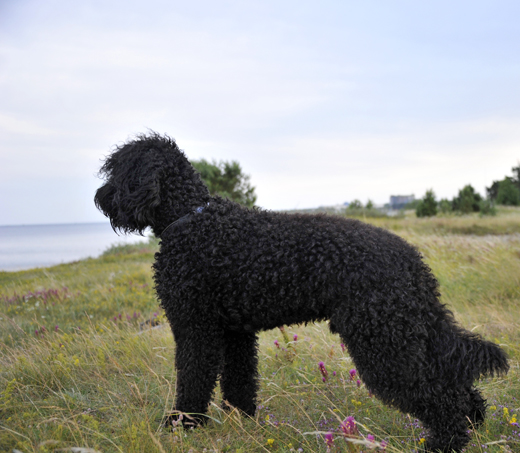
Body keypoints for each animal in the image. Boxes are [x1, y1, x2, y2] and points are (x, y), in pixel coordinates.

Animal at [94, 132, 508, 450]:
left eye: (119, 170)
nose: (101, 196)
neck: (193, 218)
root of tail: (413, 261)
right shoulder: (235, 333)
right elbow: (240, 384)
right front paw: (243, 425)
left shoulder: (195, 327)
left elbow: (193, 380)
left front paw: (182, 424)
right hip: (406, 332)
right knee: (458, 387)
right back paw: (475, 425)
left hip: (384, 339)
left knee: (440, 399)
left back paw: (443, 443)